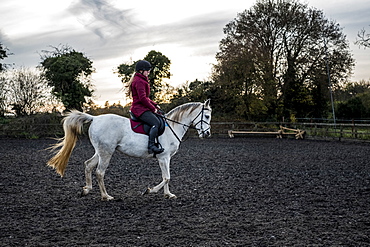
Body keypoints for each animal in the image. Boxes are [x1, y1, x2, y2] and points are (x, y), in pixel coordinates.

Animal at [47, 99, 212, 200]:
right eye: (207, 116)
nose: (207, 134)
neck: (172, 126)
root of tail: (95, 118)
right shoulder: (163, 157)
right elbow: (167, 177)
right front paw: (150, 190)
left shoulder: (166, 158)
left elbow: (166, 177)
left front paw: (168, 194)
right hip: (106, 153)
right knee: (99, 172)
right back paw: (106, 196)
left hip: (100, 151)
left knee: (88, 165)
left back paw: (86, 189)